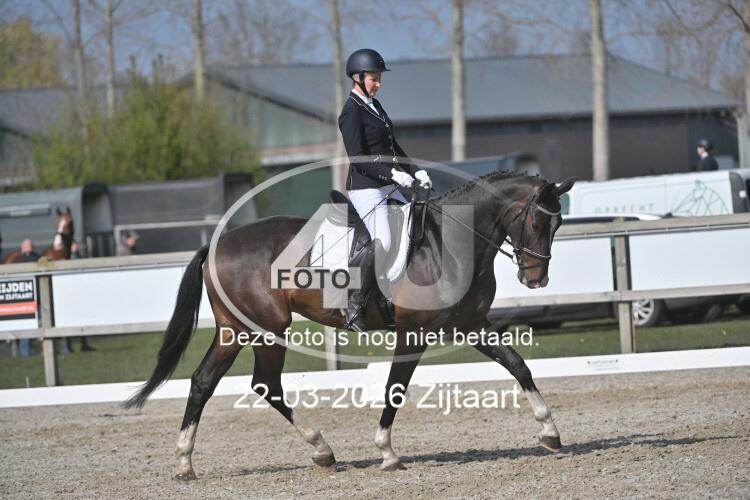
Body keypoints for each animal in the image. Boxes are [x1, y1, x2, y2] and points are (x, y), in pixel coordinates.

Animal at [125, 171, 576, 479]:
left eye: (558, 225)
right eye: (538, 223)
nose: (536, 280)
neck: (448, 242)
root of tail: (218, 245)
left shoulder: (471, 325)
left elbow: (518, 366)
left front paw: (550, 433)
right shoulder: (413, 334)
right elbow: (395, 389)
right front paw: (387, 453)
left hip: (239, 330)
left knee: (221, 382)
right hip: (260, 329)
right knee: (252, 384)